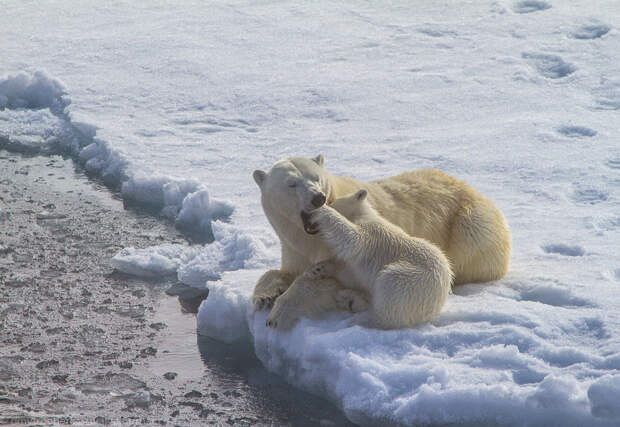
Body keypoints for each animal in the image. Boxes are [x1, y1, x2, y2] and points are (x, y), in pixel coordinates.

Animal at [249, 155, 512, 310]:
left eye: (316, 178)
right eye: (291, 184)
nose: (318, 198)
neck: (311, 237)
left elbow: (330, 277)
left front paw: (281, 308)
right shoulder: (293, 245)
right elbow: (284, 270)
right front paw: (264, 295)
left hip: (470, 224)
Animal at [266, 191, 450, 332]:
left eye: (331, 201)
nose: (305, 215)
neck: (363, 215)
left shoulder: (372, 235)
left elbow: (351, 238)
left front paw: (322, 211)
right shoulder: (354, 265)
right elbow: (345, 271)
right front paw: (316, 269)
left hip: (416, 280)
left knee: (390, 291)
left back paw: (360, 321)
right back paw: (348, 298)